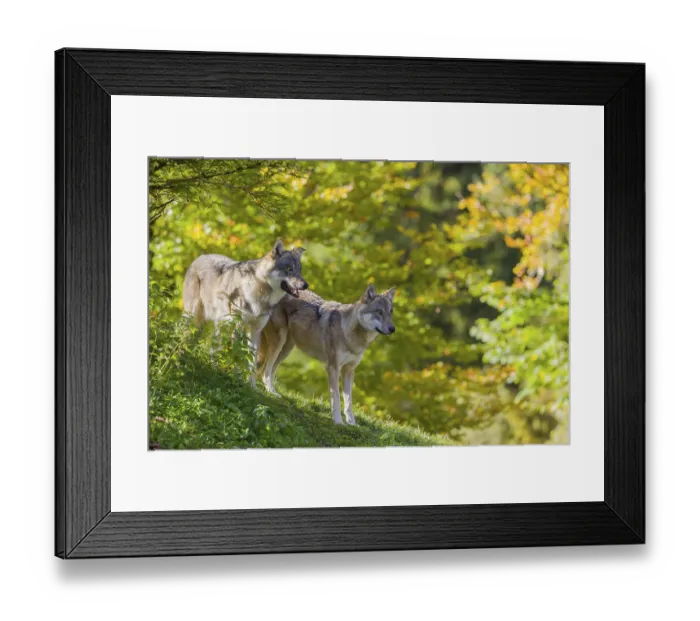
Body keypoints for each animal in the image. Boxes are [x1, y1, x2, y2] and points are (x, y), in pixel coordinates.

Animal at [182, 240, 308, 384]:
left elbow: (251, 363)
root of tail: (201, 256)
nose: (306, 285)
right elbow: (237, 355)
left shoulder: (255, 331)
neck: (260, 292)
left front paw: (251, 385)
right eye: (289, 269)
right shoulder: (238, 328)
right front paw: (236, 378)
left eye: (299, 270)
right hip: (194, 317)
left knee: (212, 348)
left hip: (219, 327)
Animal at [258, 283, 396, 425]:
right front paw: (338, 422)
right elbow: (336, 398)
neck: (350, 334)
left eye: (390, 312)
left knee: (269, 371)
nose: (392, 329)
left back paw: (274, 392)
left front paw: (352, 423)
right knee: (264, 371)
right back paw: (271, 392)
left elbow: (348, 401)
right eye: (379, 312)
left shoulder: (349, 370)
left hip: (286, 350)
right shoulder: (333, 368)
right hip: (279, 342)